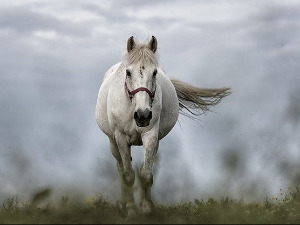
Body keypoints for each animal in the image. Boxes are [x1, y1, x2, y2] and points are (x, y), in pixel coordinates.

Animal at [95, 36, 230, 217]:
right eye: (128, 72)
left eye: (154, 73)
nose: (143, 115)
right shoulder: (121, 138)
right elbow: (128, 175)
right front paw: (131, 210)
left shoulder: (151, 136)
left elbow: (146, 174)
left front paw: (146, 208)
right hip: (113, 143)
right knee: (120, 168)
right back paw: (123, 204)